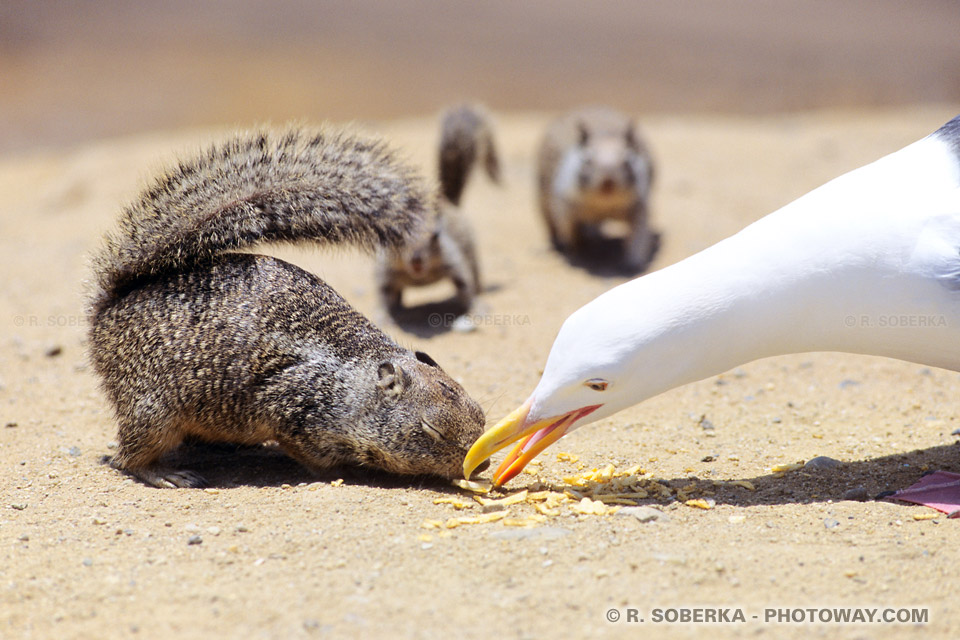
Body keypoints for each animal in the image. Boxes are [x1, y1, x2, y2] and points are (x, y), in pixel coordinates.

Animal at [88, 125, 488, 488]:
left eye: (481, 413)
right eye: (431, 431)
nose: (481, 465)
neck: (354, 386)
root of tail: (111, 306)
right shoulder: (294, 415)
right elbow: (316, 460)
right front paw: (346, 472)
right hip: (153, 411)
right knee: (128, 458)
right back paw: (167, 474)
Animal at [376, 103, 498, 320]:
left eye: (436, 236)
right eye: (396, 237)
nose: (416, 260)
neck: (419, 275)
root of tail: (448, 202)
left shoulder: (454, 261)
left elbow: (466, 287)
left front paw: (477, 308)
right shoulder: (384, 270)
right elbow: (382, 294)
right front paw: (383, 316)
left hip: (470, 251)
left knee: (475, 276)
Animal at [536, 106, 656, 272]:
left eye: (627, 161)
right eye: (587, 160)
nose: (607, 183)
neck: (603, 205)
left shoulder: (640, 206)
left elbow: (638, 237)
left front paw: (632, 266)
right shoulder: (565, 206)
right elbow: (570, 232)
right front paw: (578, 253)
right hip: (542, 201)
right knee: (551, 224)